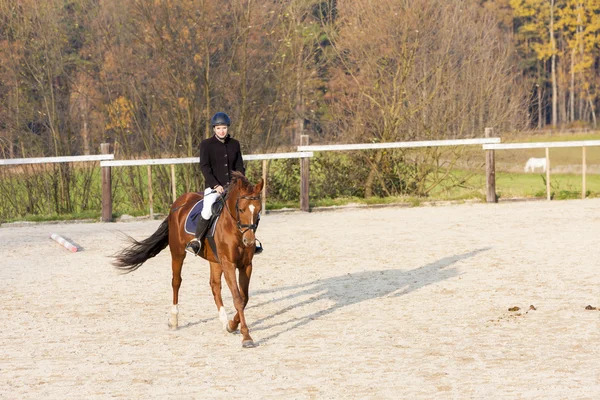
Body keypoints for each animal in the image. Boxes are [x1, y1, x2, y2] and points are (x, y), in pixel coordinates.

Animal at [112, 171, 262, 346]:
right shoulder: (229, 264)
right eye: (241, 209)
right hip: (177, 252)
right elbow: (238, 299)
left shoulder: (246, 265)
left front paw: (231, 325)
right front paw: (246, 337)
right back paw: (174, 320)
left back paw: (224, 320)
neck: (235, 230)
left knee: (214, 286)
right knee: (176, 282)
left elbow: (244, 298)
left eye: (258, 210)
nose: (249, 241)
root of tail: (177, 204)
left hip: (215, 260)